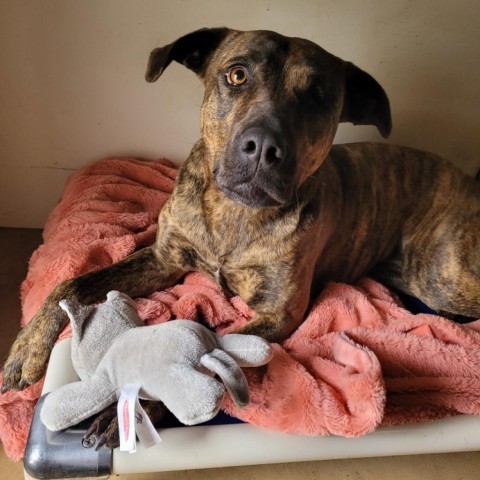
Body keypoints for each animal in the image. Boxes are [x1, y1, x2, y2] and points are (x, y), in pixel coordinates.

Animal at [2, 28, 480, 434]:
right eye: (236, 74)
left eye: (318, 97)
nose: (264, 146)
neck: (234, 214)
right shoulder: (162, 260)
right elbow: (72, 283)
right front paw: (25, 351)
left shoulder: (279, 313)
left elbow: (213, 346)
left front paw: (147, 403)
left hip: (442, 277)